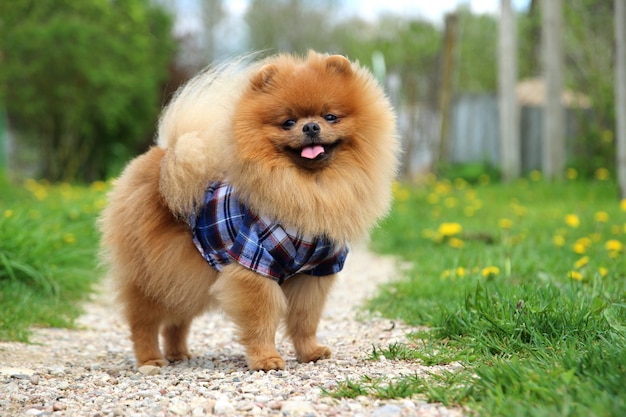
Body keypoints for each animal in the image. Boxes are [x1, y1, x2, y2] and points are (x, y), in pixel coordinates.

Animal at [99, 50, 398, 368]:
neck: (310, 187)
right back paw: (151, 360)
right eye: (288, 122)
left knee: (177, 319)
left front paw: (310, 352)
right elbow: (262, 317)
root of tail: (162, 157)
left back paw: (178, 353)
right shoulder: (254, 263)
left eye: (330, 116)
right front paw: (266, 359)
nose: (310, 127)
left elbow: (305, 319)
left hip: (183, 274)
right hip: (153, 273)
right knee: (142, 320)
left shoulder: (315, 272)